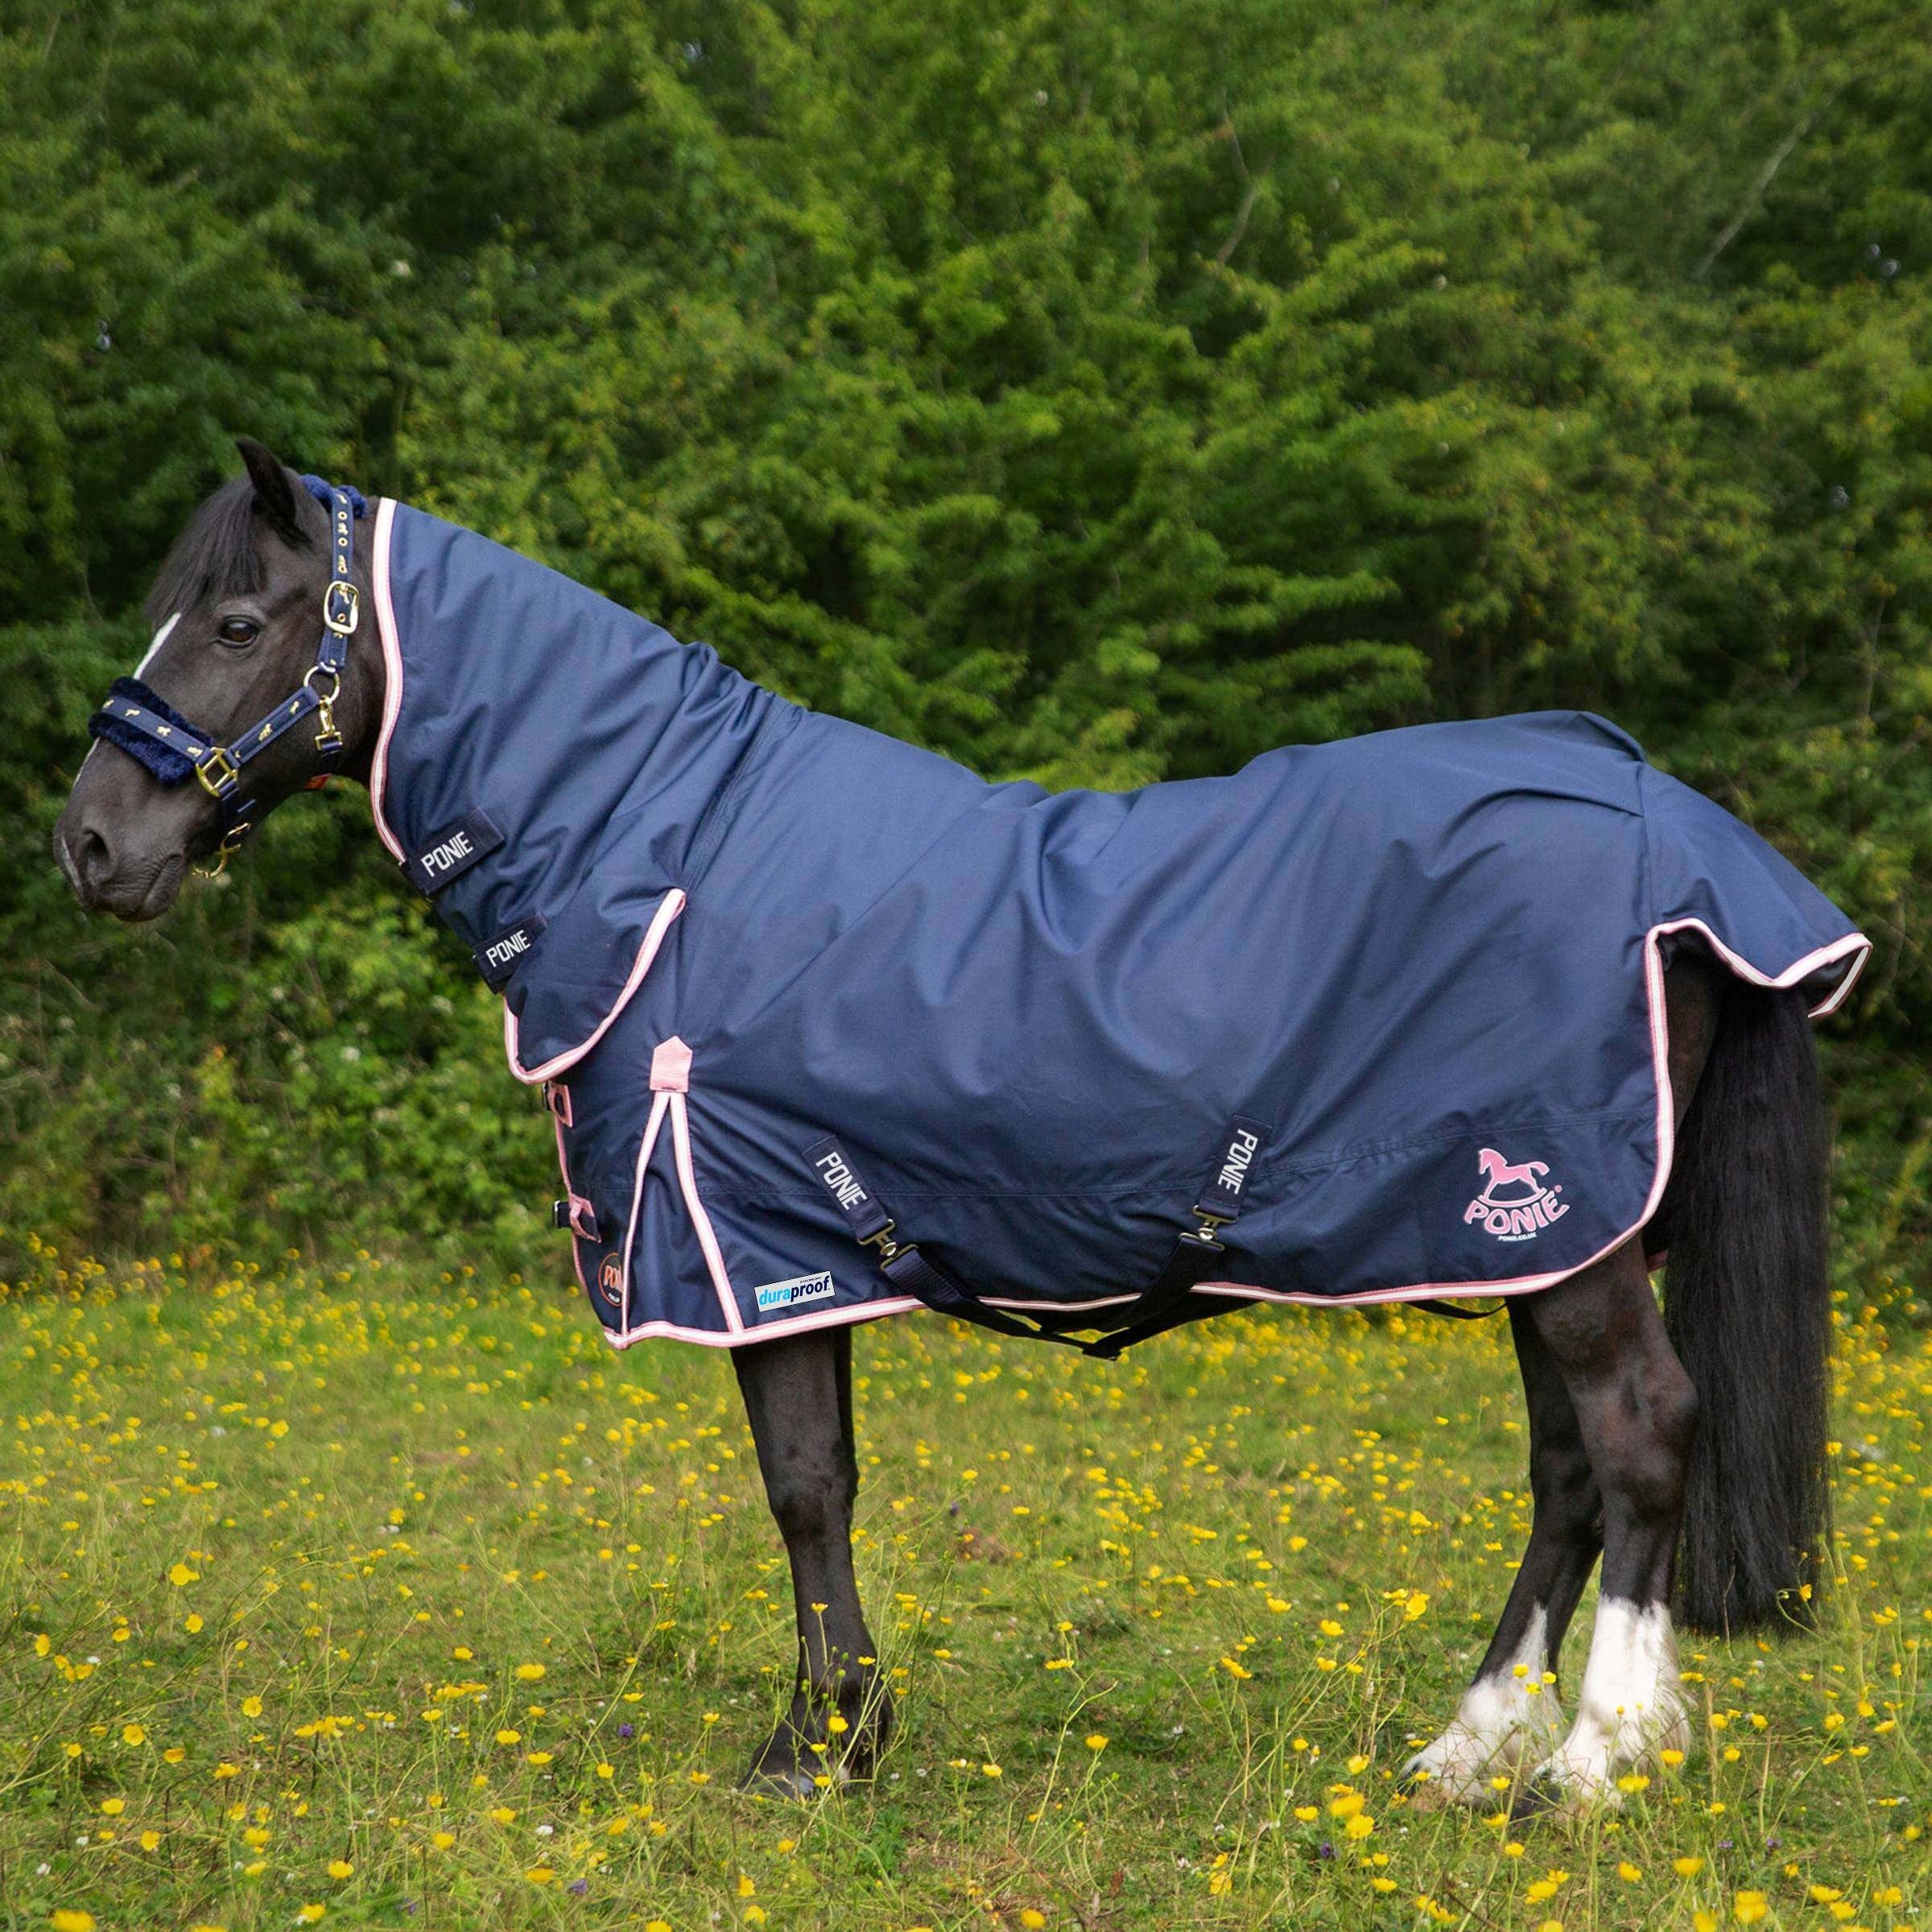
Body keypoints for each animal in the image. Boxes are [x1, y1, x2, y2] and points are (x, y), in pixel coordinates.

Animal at [55, 443, 1866, 1812]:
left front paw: (816, 1755)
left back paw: (1592, 1763)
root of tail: (1668, 822)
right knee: (1565, 1469)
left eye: (235, 619)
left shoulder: (752, 1249)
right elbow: (826, 1489)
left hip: (1563, 1223)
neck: (667, 862)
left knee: (1640, 1434)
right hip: (1531, 1234)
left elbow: (804, 1491)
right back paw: (1465, 1748)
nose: (91, 844)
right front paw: (842, 1737)